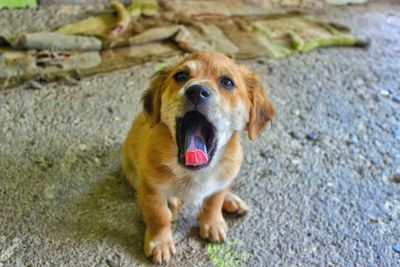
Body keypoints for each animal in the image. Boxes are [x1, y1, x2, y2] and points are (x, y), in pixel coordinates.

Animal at [122, 51, 276, 264]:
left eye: (227, 82)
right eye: (180, 76)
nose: (196, 90)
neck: (193, 173)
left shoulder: (221, 181)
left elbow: (213, 202)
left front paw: (212, 223)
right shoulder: (150, 189)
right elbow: (158, 216)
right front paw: (160, 242)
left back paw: (232, 201)